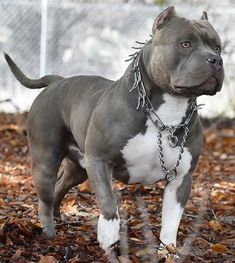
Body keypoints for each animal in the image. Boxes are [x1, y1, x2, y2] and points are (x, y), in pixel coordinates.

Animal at [4, 5, 224, 258]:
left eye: (217, 47)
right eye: (185, 44)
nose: (216, 60)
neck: (166, 112)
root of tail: (57, 81)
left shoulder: (181, 178)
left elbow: (171, 220)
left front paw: (168, 251)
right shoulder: (99, 160)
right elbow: (108, 201)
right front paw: (109, 235)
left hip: (78, 168)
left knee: (60, 186)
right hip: (46, 161)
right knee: (45, 198)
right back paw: (49, 233)